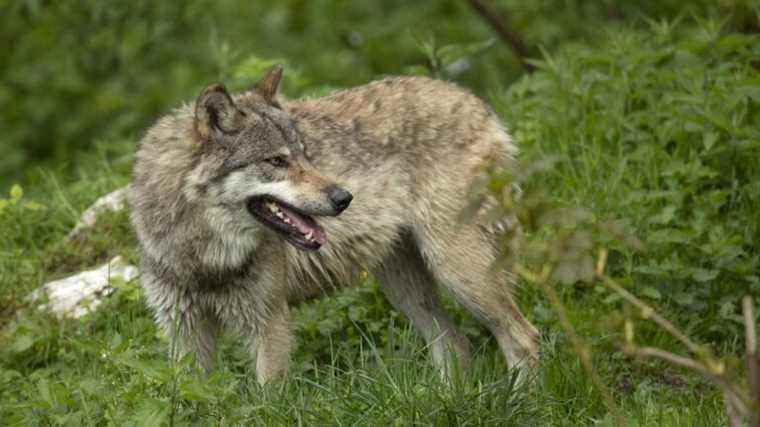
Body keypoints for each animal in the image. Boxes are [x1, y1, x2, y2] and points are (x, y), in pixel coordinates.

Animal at [131, 66, 536, 384]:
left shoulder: (269, 323)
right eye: (277, 161)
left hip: (458, 273)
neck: (205, 257)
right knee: (455, 344)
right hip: (405, 287)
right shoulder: (184, 333)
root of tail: (479, 105)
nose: (343, 198)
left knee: (524, 338)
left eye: (305, 154)